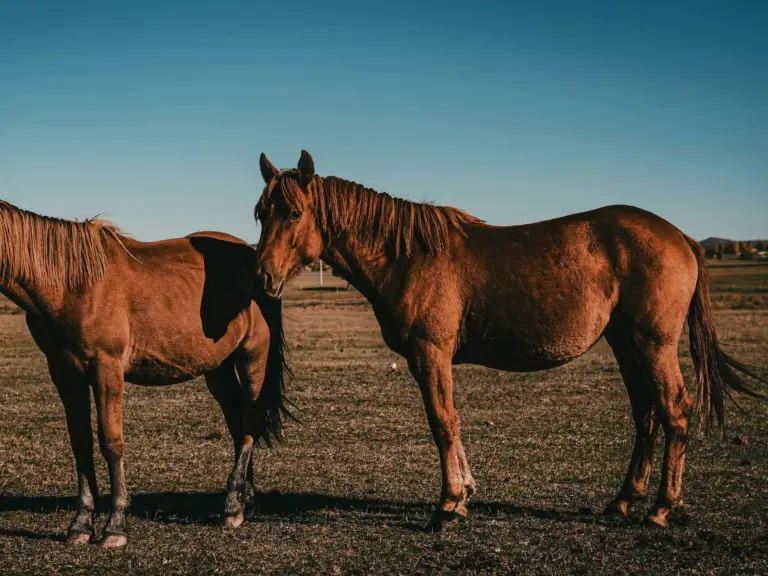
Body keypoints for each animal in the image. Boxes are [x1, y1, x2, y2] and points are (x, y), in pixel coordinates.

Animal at [0, 200, 290, 547]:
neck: (72, 285)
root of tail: (260, 266)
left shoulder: (106, 368)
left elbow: (111, 442)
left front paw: (115, 525)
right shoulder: (64, 373)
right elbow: (80, 443)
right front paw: (81, 524)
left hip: (252, 356)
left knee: (250, 420)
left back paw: (233, 505)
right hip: (218, 367)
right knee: (237, 420)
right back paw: (244, 497)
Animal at [252, 150, 766, 531]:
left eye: (293, 212)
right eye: (260, 213)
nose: (262, 278)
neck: (408, 256)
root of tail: (681, 237)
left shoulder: (429, 354)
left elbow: (443, 422)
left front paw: (449, 504)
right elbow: (451, 422)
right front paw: (463, 496)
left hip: (652, 344)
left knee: (675, 410)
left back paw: (661, 508)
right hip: (626, 345)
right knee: (647, 414)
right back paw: (623, 501)